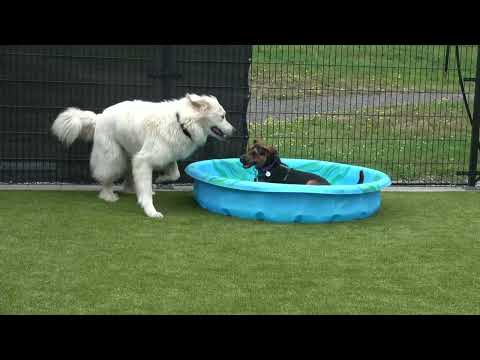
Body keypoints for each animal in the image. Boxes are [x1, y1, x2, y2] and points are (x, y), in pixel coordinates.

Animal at [51, 93, 235, 218]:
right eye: (222, 116)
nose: (234, 131)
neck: (181, 122)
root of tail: (99, 117)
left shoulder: (165, 155)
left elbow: (175, 174)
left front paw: (161, 179)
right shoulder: (144, 160)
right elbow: (147, 189)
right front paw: (150, 211)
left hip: (130, 155)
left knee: (129, 180)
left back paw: (133, 190)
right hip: (114, 158)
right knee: (106, 178)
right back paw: (109, 196)